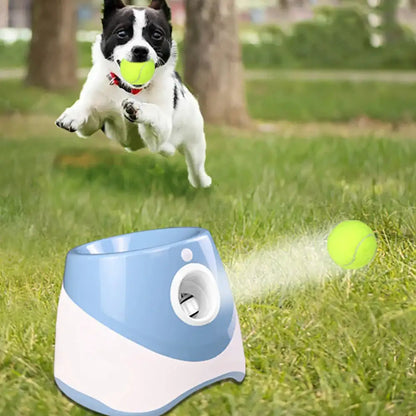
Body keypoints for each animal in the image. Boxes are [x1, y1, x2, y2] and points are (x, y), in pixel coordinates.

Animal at [55, 0, 211, 188]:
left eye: (156, 35)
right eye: (122, 33)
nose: (140, 50)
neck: (129, 88)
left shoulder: (161, 129)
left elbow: (153, 111)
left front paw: (137, 108)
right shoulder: (90, 126)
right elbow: (87, 105)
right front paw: (72, 114)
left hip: (195, 143)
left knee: (195, 169)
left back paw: (202, 180)